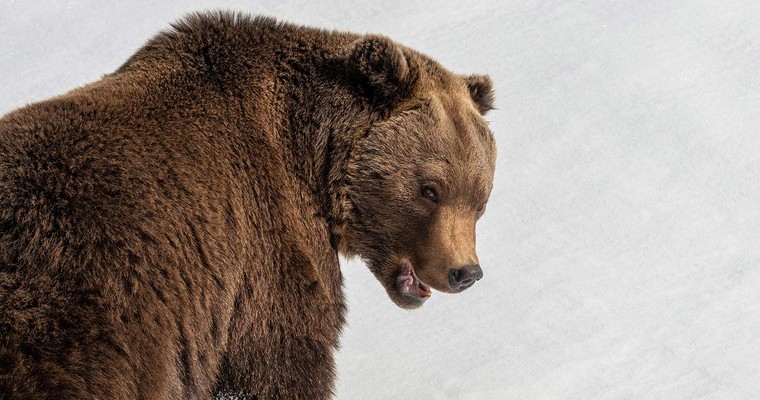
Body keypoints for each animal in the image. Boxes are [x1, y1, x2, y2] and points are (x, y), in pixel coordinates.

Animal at [0, 10, 496, 398]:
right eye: (429, 189)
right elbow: (278, 362)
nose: (465, 272)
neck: (310, 157)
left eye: (480, 200)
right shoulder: (260, 248)